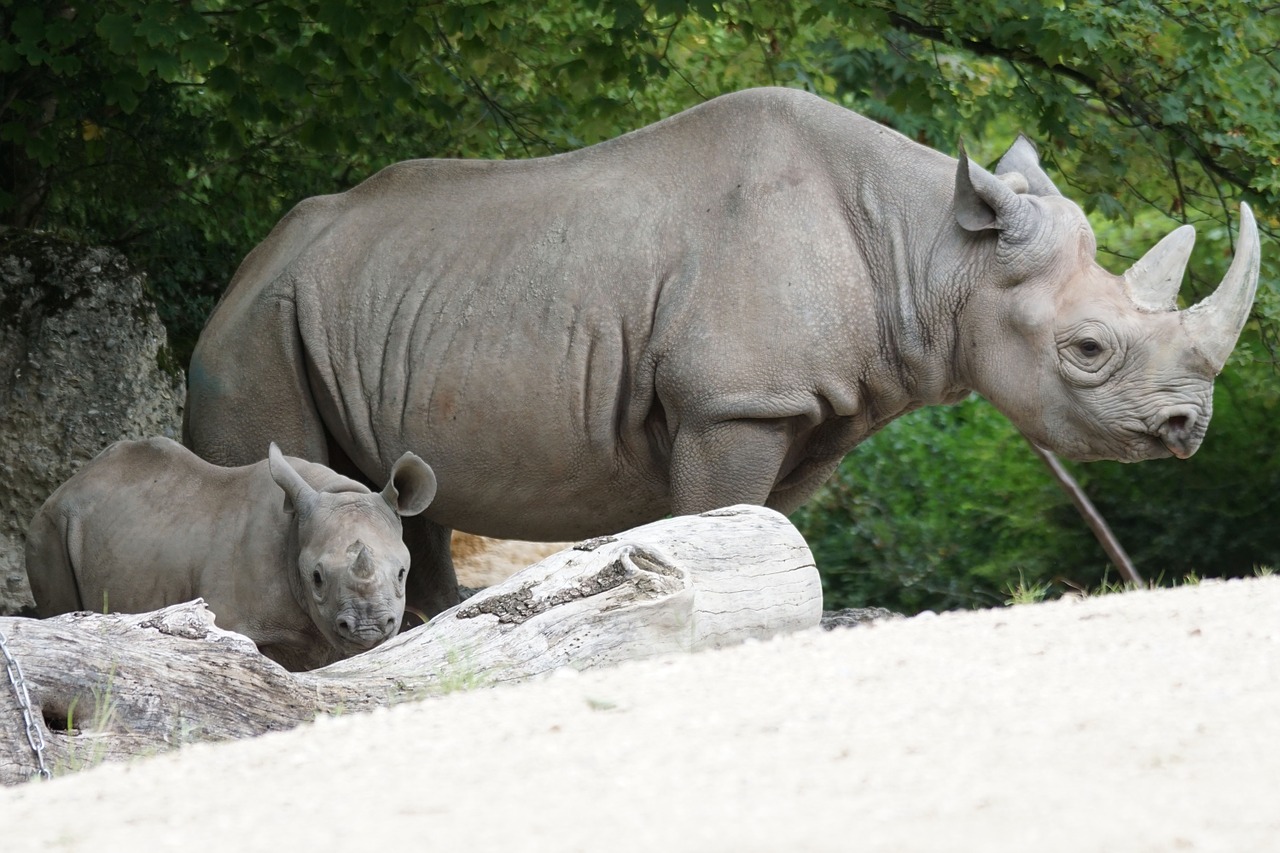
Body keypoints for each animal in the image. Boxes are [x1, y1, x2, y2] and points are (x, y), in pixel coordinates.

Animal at [185, 86, 1264, 617]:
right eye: (1086, 348)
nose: (1189, 427)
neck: (932, 254)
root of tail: (243, 271)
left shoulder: (803, 405)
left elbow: (761, 528)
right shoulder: (732, 403)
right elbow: (722, 519)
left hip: (343, 305)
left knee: (410, 500)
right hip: (257, 332)